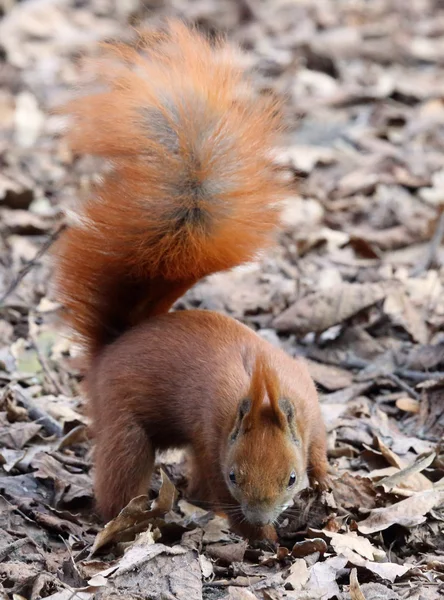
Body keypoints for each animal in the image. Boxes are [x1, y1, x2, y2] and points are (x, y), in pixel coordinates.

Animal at [53, 21, 330, 540]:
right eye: (236, 475)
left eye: (291, 477)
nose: (262, 517)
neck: (260, 389)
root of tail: (113, 346)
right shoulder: (209, 430)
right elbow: (214, 478)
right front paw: (258, 535)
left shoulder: (308, 402)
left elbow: (320, 442)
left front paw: (325, 479)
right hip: (124, 421)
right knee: (124, 472)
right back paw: (127, 516)